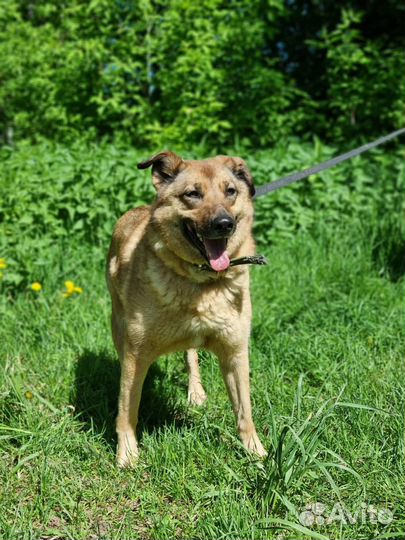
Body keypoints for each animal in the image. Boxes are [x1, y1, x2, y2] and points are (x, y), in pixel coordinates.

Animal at [105, 150, 266, 466]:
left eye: (231, 191)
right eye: (193, 194)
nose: (224, 223)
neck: (200, 281)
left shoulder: (235, 352)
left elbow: (245, 411)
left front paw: (257, 454)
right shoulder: (135, 354)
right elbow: (127, 410)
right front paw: (127, 455)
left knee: (191, 356)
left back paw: (196, 392)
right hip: (118, 327)